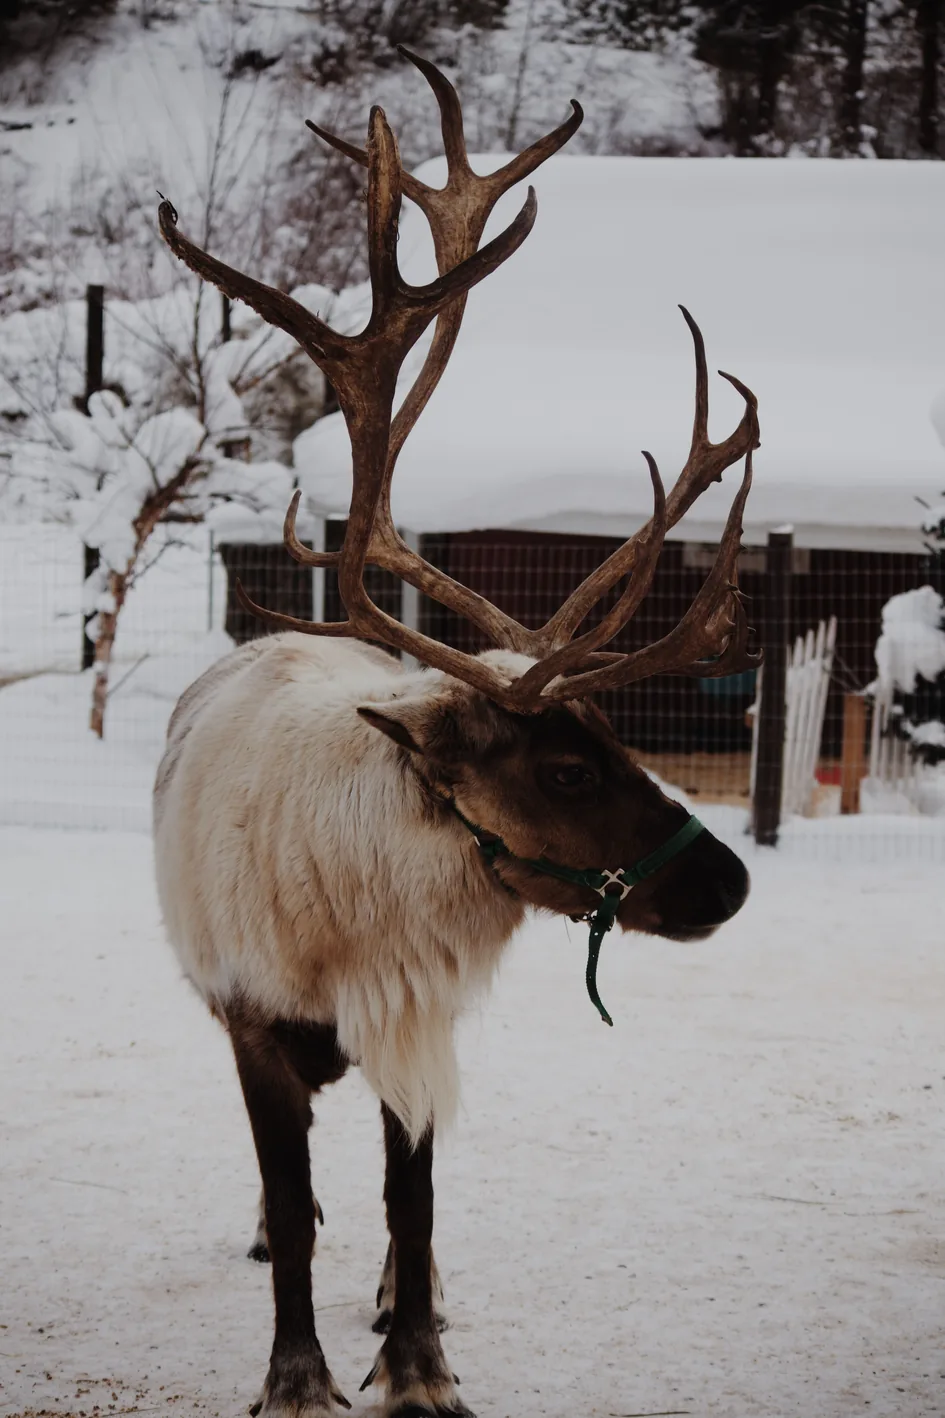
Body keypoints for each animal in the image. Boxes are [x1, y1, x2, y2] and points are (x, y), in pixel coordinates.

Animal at [152, 47, 760, 1418]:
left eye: (617, 735)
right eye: (564, 762)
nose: (731, 879)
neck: (354, 911)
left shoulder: (415, 1013)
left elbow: (414, 1198)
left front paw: (419, 1362)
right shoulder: (256, 1023)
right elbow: (294, 1200)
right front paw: (297, 1372)